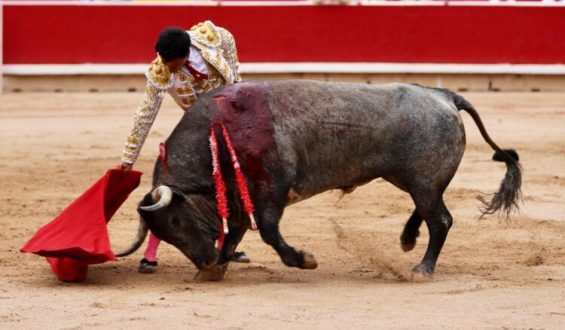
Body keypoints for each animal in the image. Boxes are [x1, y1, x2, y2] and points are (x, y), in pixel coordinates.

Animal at [117, 81, 524, 280]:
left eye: (175, 220)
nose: (203, 262)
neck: (216, 130)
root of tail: (443, 95)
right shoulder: (238, 194)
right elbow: (236, 232)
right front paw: (221, 264)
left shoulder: (271, 189)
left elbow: (267, 232)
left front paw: (303, 260)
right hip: (412, 178)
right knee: (429, 210)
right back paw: (408, 240)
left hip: (421, 180)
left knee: (440, 219)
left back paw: (422, 269)